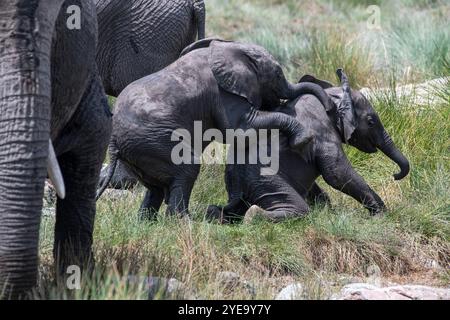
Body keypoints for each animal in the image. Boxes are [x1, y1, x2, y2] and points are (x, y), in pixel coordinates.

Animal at [96, 37, 334, 218]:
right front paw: (302, 139)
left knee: (154, 187)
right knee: (187, 167)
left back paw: (147, 223)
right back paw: (185, 222)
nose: (330, 107)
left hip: (140, 150)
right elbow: (241, 129)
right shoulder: (223, 93)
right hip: (152, 141)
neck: (234, 47)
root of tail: (114, 140)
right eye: (277, 74)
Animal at [208, 69, 412, 224]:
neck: (331, 97)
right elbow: (337, 173)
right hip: (265, 179)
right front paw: (381, 215)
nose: (394, 175)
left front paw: (328, 213)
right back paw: (253, 216)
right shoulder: (322, 132)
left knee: (225, 210)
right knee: (298, 208)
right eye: (371, 121)